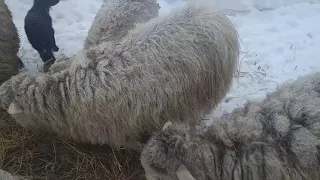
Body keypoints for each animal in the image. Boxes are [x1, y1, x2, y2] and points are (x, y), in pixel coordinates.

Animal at [0, 1, 239, 150]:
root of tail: (214, 14)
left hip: (205, 90)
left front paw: (139, 148)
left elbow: (129, 144)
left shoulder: (119, 128)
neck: (65, 95)